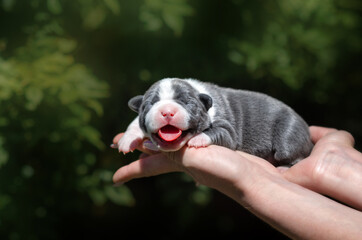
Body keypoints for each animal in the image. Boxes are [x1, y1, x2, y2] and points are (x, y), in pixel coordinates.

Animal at [114, 78, 312, 166]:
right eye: (151, 104)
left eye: (186, 103)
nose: (167, 111)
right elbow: (135, 121)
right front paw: (127, 139)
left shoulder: (228, 130)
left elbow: (219, 132)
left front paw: (197, 139)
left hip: (289, 134)